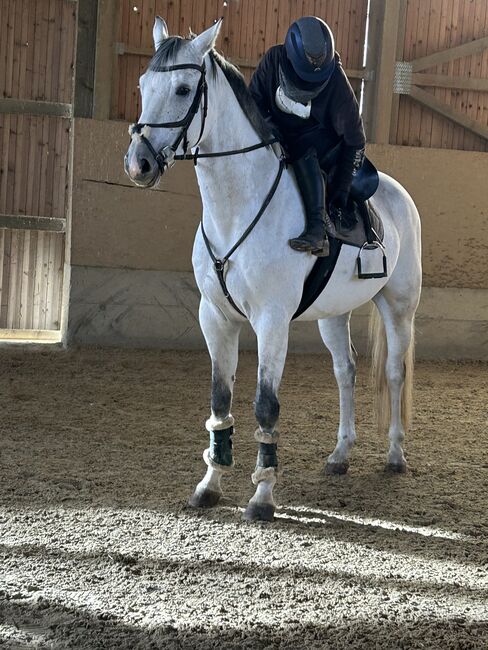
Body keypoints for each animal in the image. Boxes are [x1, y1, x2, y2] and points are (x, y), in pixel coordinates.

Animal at [126, 19, 424, 520]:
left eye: (184, 89)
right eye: (143, 85)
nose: (139, 163)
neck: (236, 207)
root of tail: (398, 193)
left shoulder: (271, 320)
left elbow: (266, 406)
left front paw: (263, 494)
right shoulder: (215, 318)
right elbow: (220, 399)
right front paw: (210, 484)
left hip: (398, 306)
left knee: (395, 373)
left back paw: (395, 455)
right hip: (332, 315)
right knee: (346, 372)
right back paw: (340, 455)